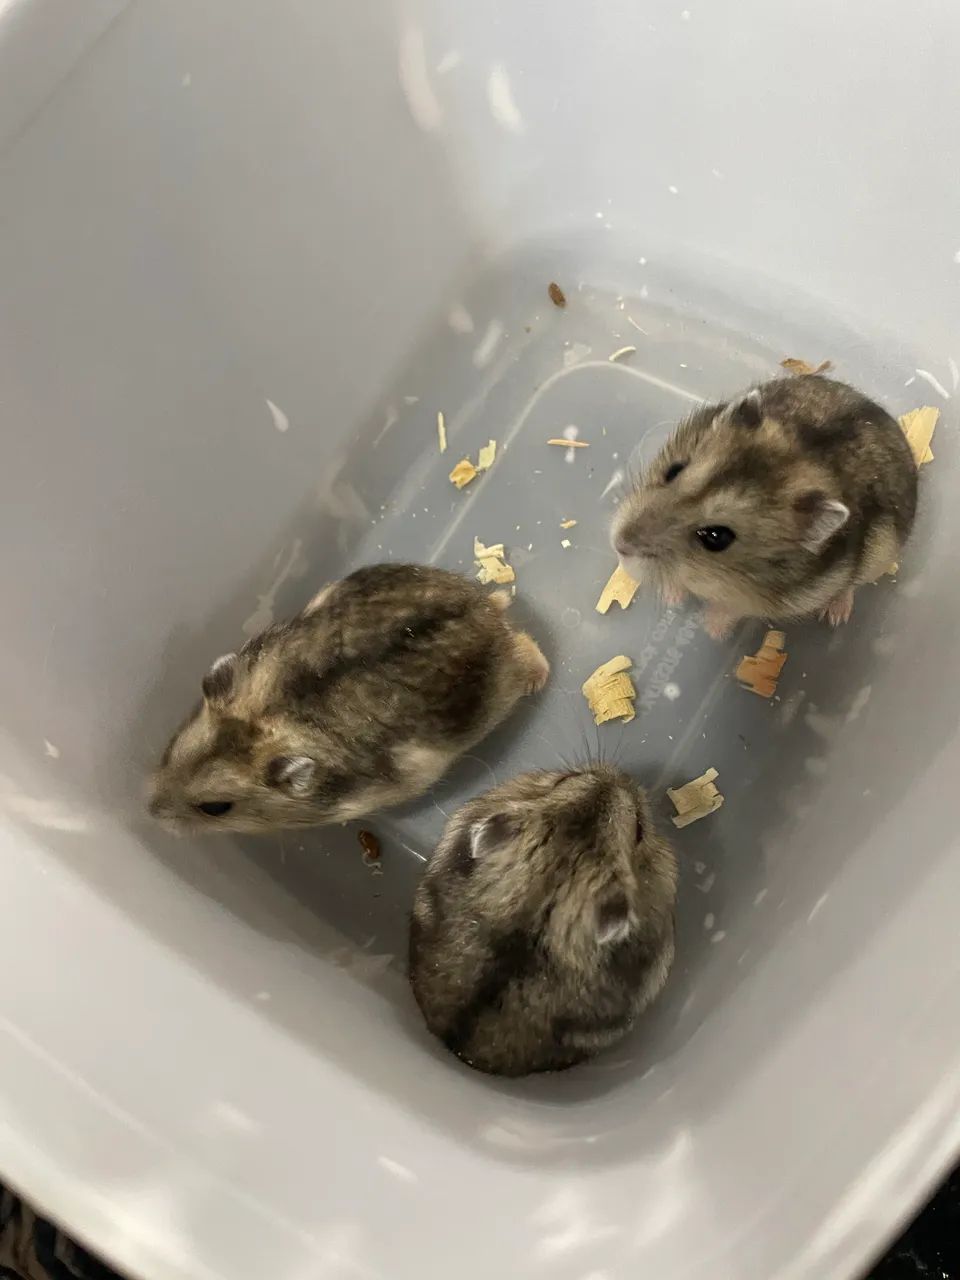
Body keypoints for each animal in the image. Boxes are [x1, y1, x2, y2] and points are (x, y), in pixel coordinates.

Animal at [148, 563, 549, 834]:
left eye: (215, 808)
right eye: (168, 752)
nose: (149, 811)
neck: (269, 720)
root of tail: (487, 608)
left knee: (526, 647)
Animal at [611, 375, 918, 639]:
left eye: (716, 538)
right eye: (673, 470)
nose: (619, 545)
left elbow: (731, 609)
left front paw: (712, 630)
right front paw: (673, 597)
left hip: (880, 557)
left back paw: (836, 615)